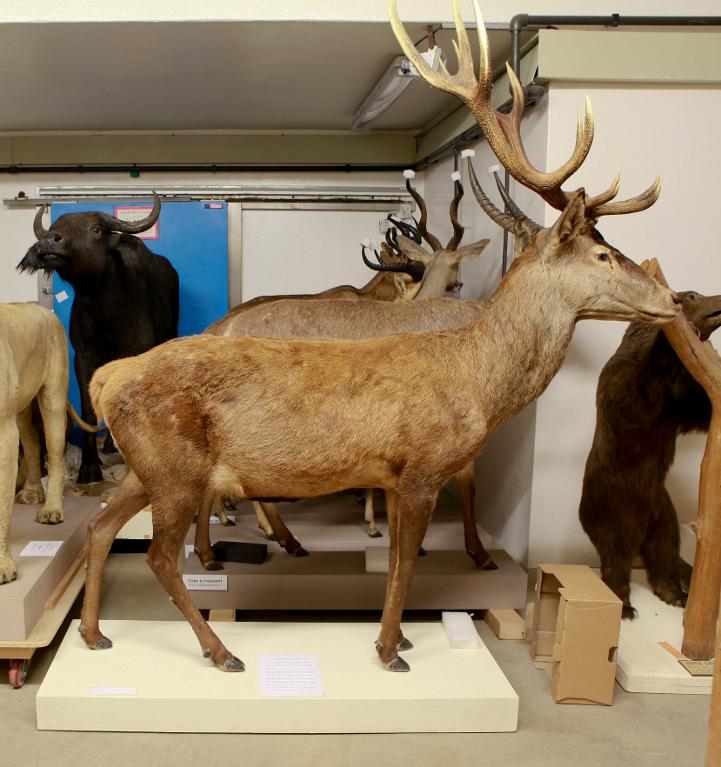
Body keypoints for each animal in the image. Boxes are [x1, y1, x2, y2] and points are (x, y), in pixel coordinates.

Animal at [78, 0, 679, 674]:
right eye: (602, 254)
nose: (672, 300)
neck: (479, 382)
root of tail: (106, 378)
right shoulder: (420, 470)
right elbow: (405, 567)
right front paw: (391, 648)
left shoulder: (393, 479)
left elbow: (392, 562)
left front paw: (401, 637)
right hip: (174, 467)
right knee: (157, 555)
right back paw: (219, 647)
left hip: (148, 468)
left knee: (99, 528)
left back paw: (95, 633)